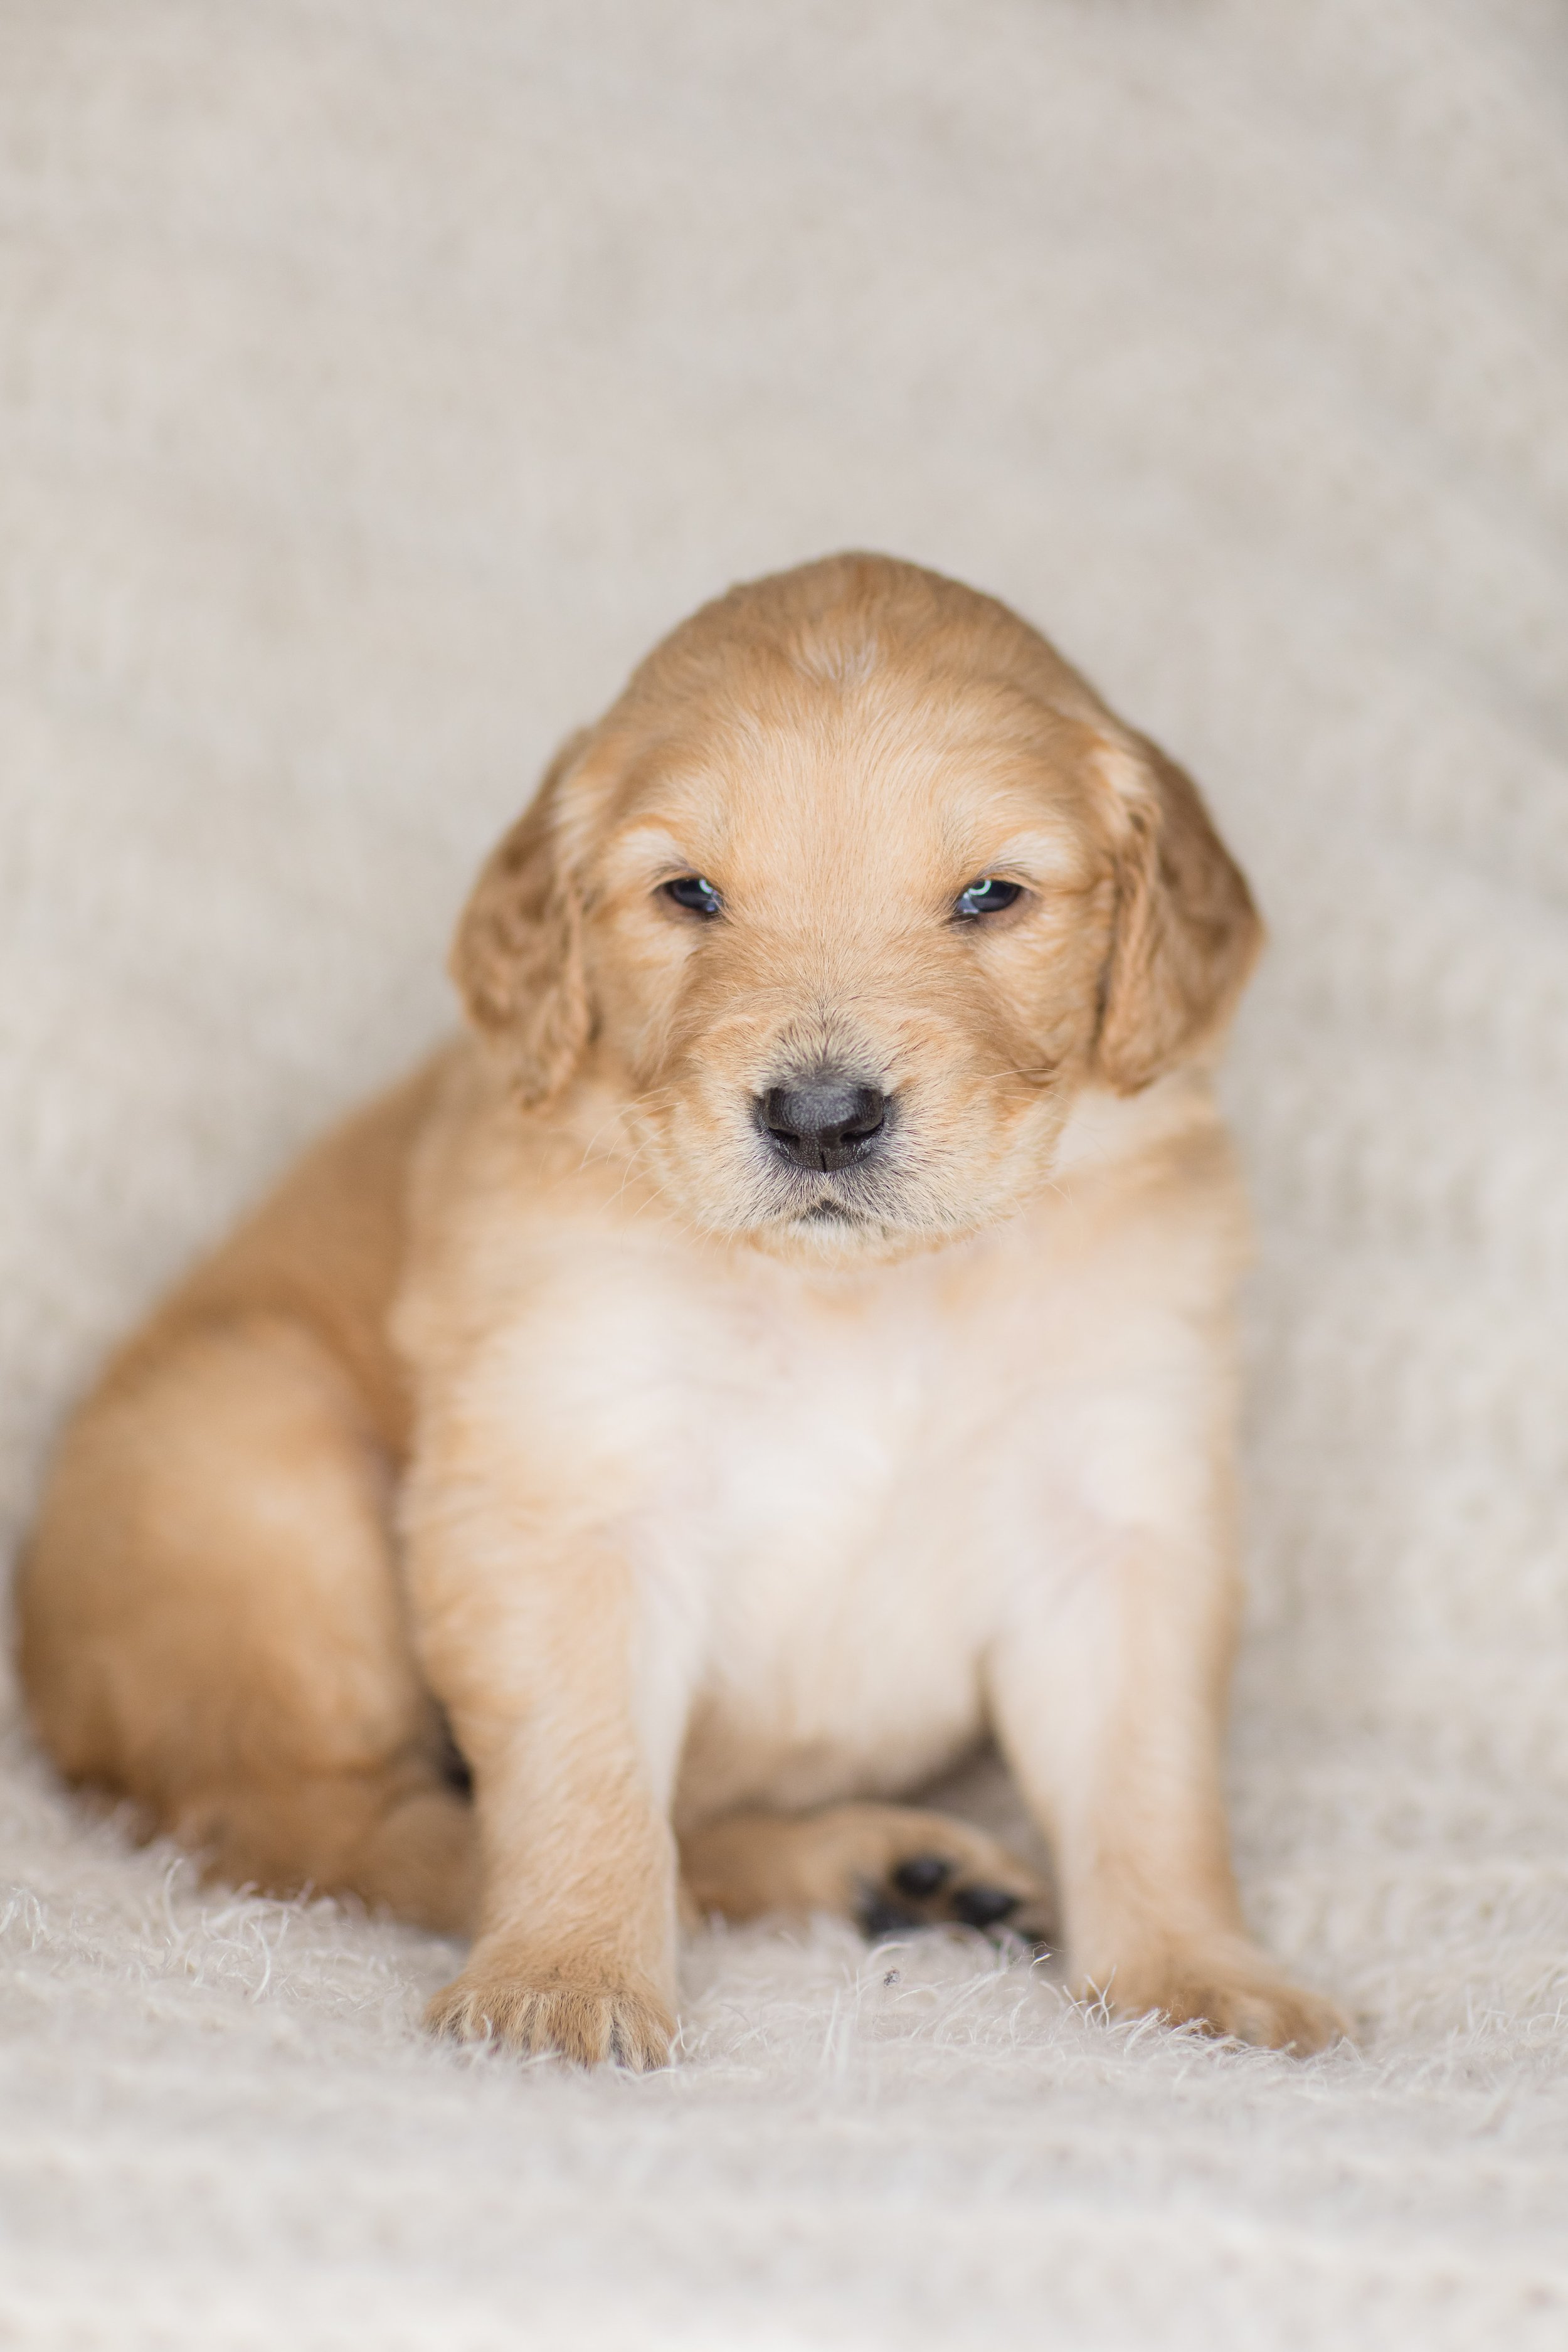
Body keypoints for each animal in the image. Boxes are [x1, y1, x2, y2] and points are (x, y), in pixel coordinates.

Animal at [12, 550, 1344, 2060]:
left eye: (992, 896)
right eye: (689, 894)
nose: (821, 1118)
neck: (866, 1304)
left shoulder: (1117, 1500)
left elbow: (1150, 1777)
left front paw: (1197, 1975)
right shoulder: (567, 1484)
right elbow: (584, 1776)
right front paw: (564, 1978)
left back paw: (883, 1870)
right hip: (253, 1470)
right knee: (312, 1821)